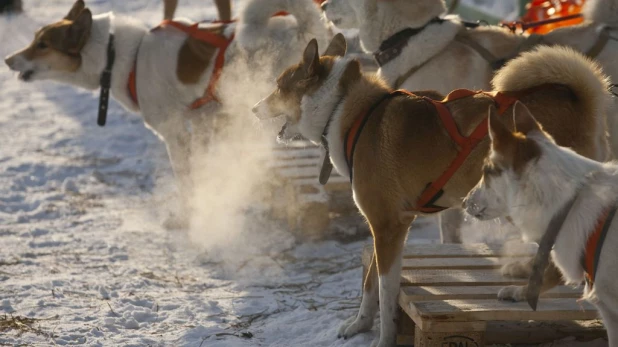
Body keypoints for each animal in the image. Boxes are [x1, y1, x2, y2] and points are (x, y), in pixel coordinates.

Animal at [3, 0, 332, 227]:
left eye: (42, 45)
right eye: (35, 39)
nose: (7, 59)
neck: (127, 57)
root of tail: (301, 29)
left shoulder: (174, 134)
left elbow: (186, 181)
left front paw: (187, 217)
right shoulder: (204, 124)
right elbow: (206, 171)